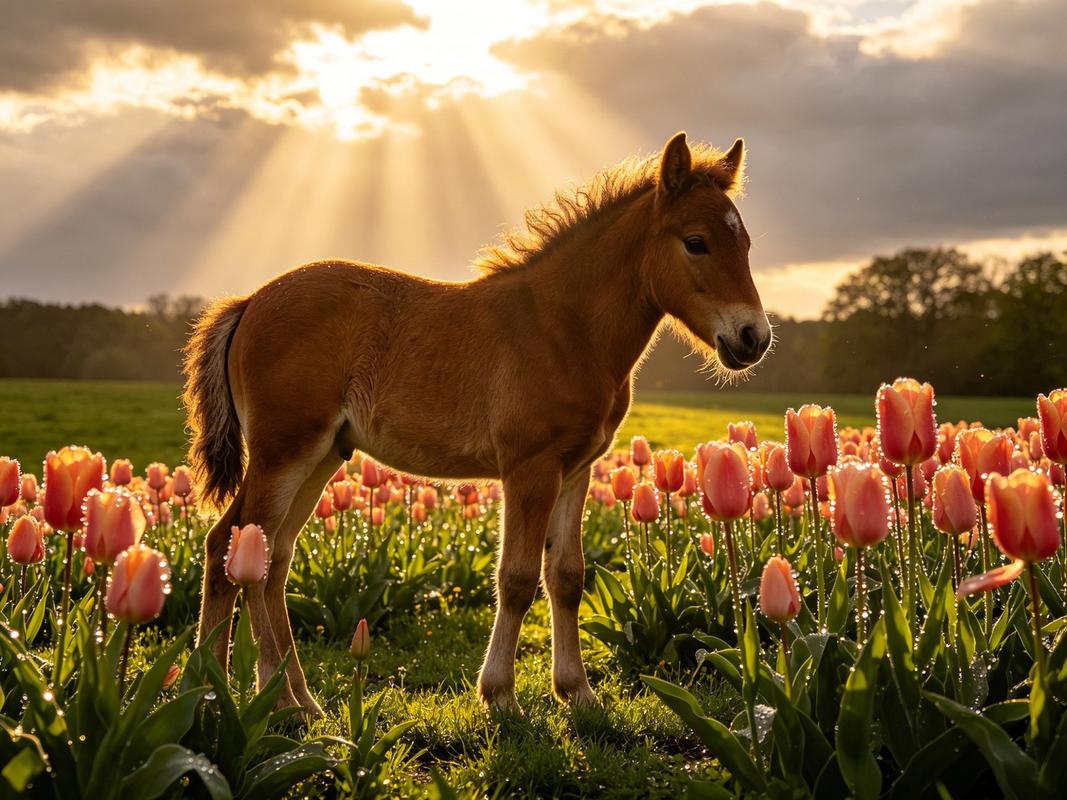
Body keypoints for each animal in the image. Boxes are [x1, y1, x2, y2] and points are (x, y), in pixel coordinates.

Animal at [183, 131, 772, 715]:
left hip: (322, 456)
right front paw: (501, 695)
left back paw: (252, 694)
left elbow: (567, 577)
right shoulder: (530, 468)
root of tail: (249, 302)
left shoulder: (576, 469)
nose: (753, 338)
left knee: (266, 555)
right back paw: (267, 698)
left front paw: (577, 693)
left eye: (745, 245)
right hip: (284, 453)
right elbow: (516, 578)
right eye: (695, 242)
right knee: (241, 547)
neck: (564, 328)